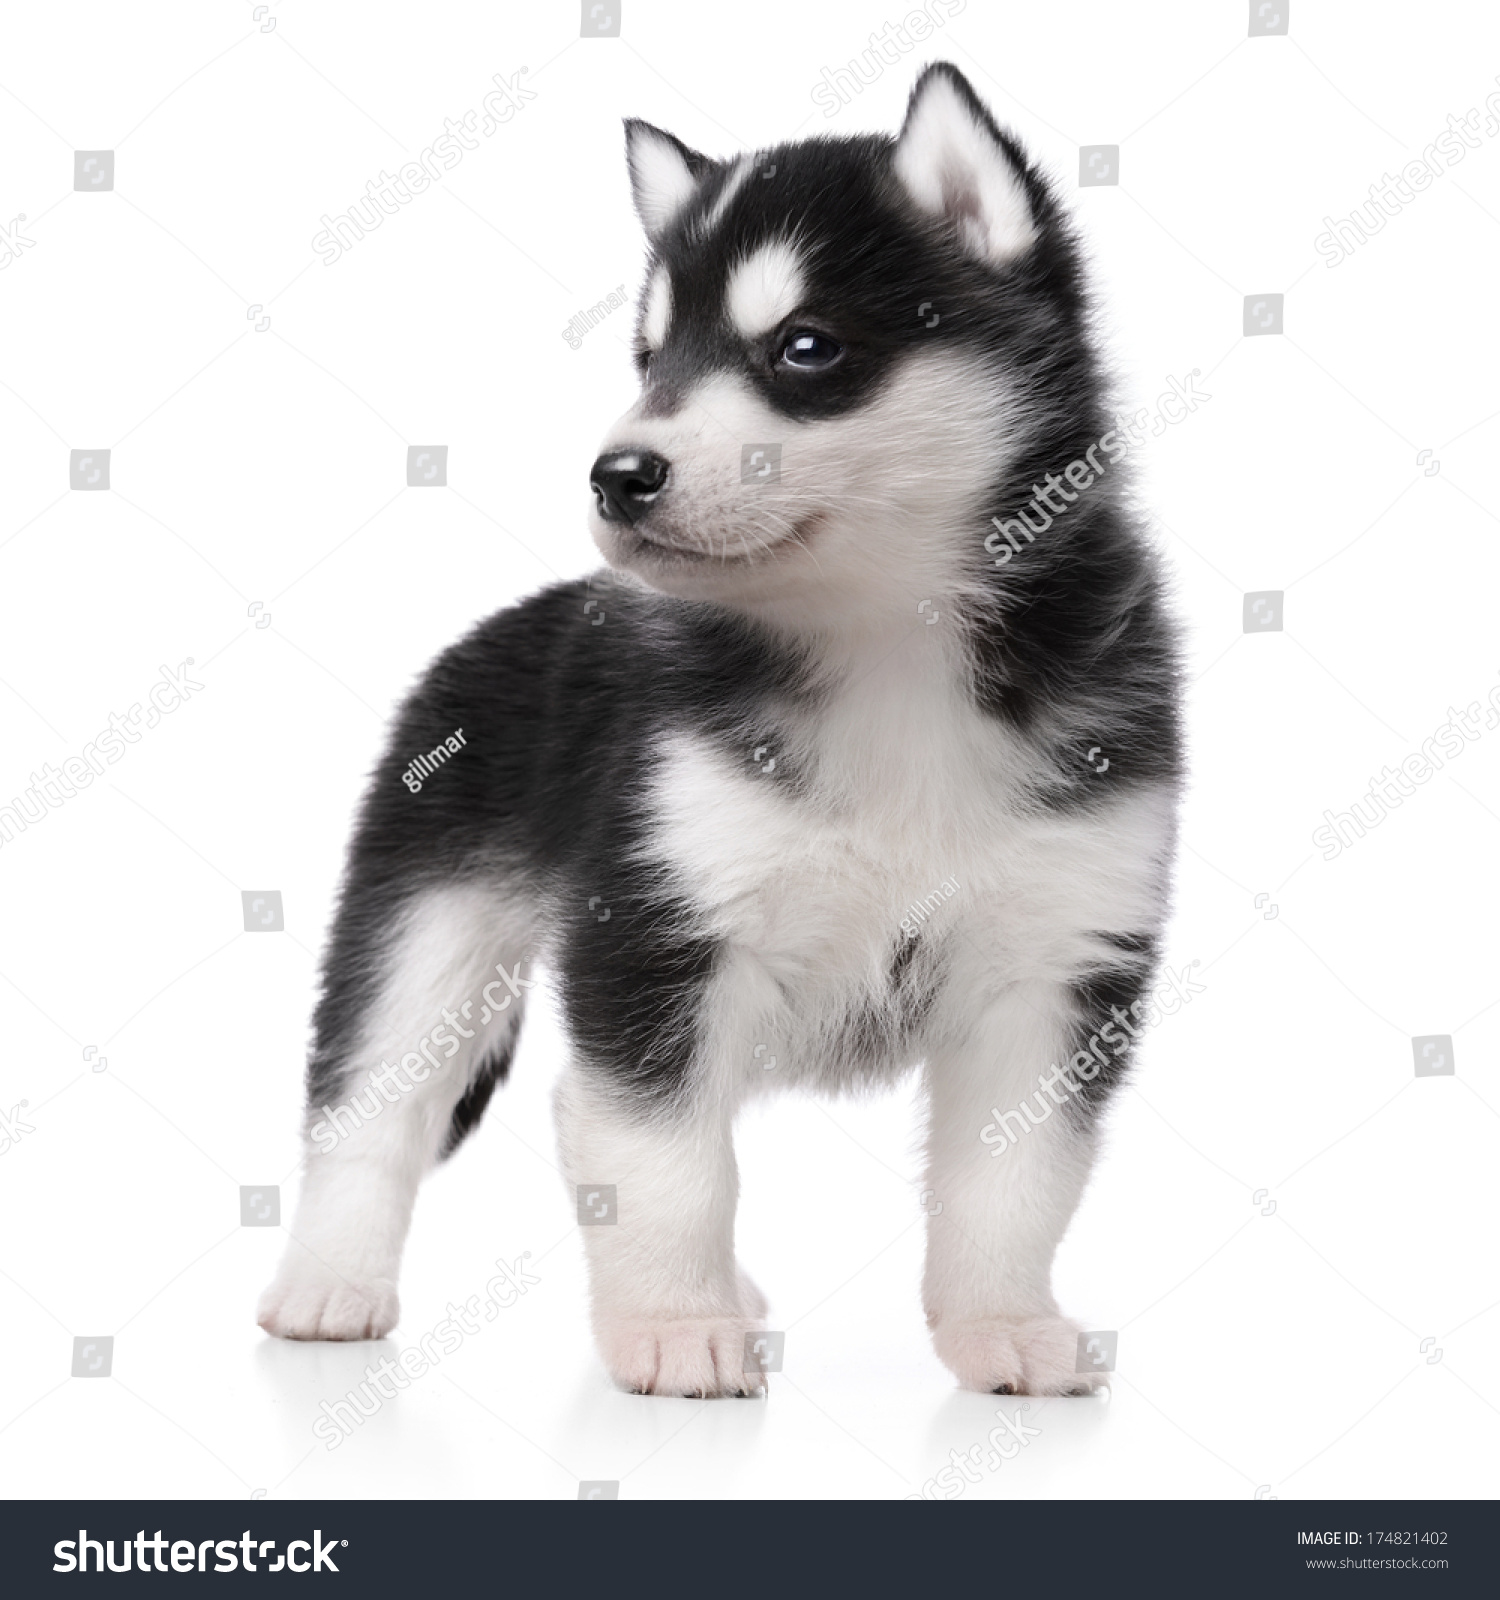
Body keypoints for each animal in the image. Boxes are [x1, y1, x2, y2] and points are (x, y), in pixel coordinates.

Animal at [265, 62, 1183, 1395]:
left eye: (805, 348)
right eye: (653, 357)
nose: (617, 474)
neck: (886, 650)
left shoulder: (1058, 962)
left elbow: (1013, 1180)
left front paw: (1003, 1323)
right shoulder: (658, 931)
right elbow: (667, 1158)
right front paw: (670, 1328)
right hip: (425, 929)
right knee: (377, 1104)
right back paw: (328, 1284)